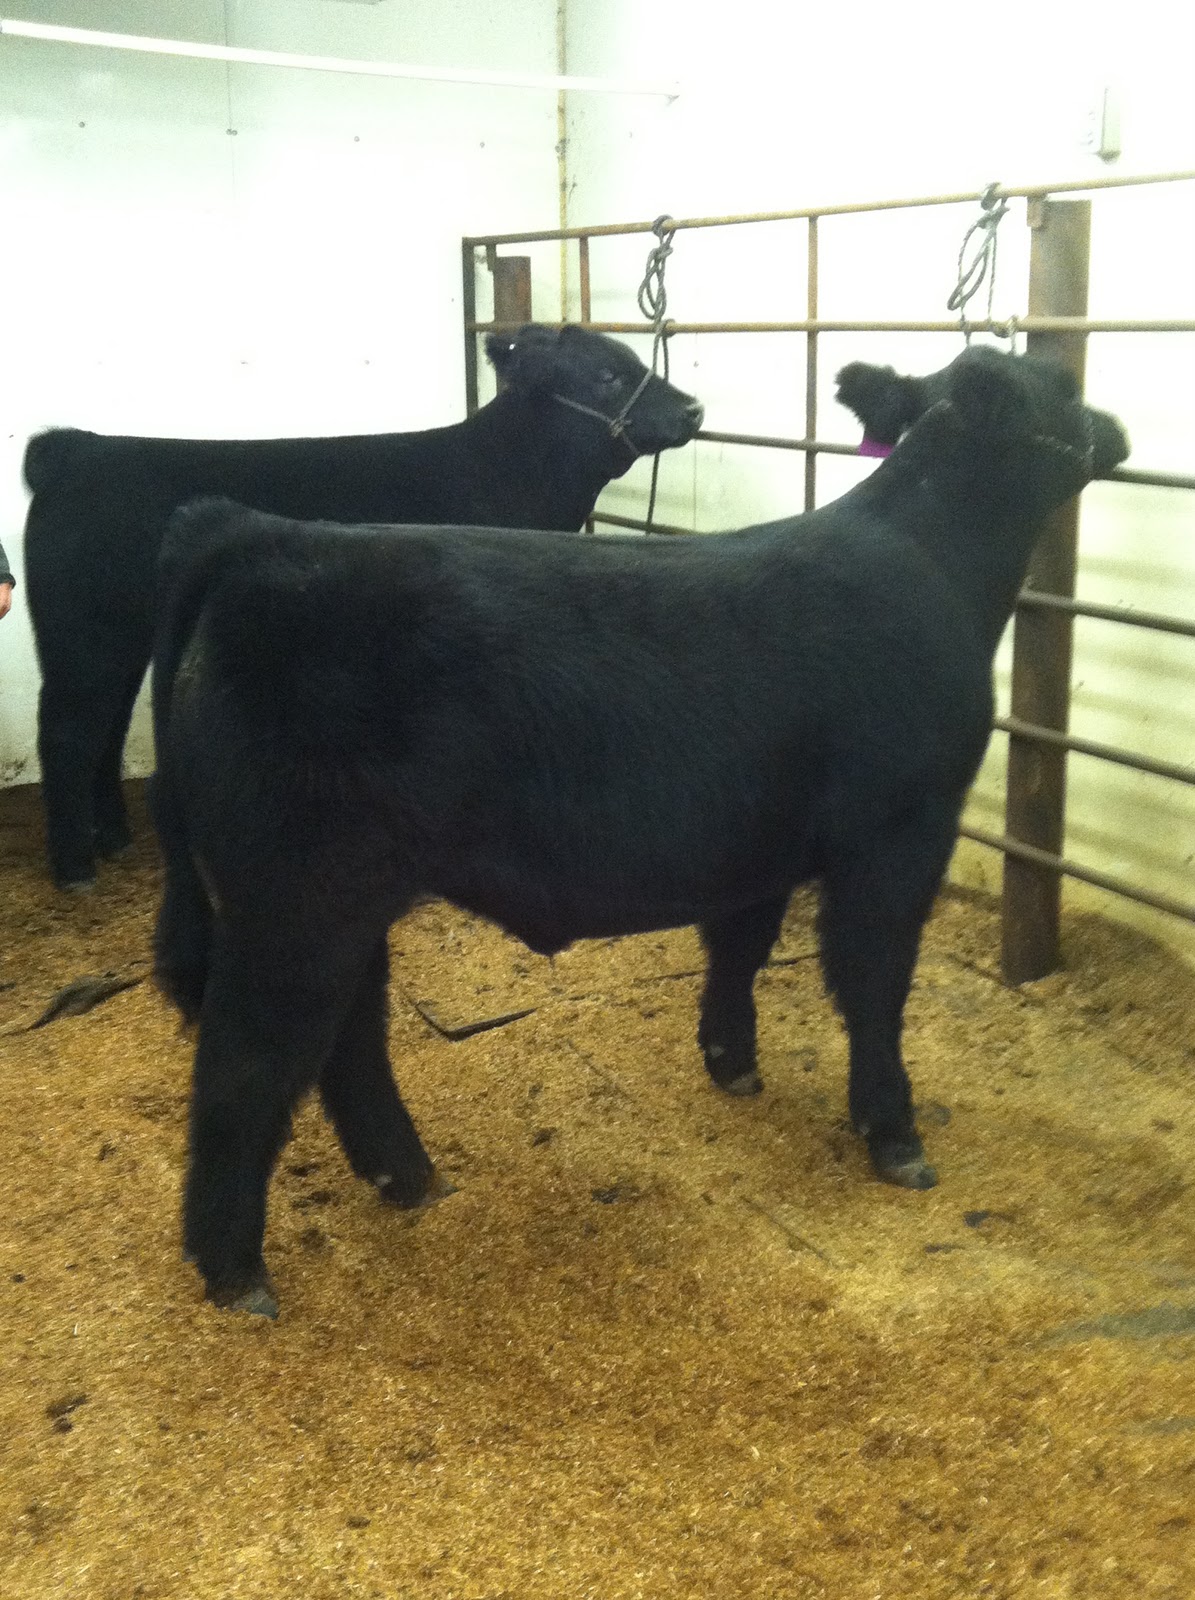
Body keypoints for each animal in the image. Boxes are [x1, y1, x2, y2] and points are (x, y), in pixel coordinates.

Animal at [21, 324, 703, 889]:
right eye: (607, 375)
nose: (693, 409)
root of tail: (78, 449)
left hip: (121, 640)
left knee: (105, 727)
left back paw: (111, 836)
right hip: (82, 637)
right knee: (67, 731)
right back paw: (75, 866)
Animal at [149, 345, 1129, 1316]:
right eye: (1065, 386)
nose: (1115, 430)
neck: (936, 564)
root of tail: (258, 534)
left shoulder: (760, 838)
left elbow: (740, 945)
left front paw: (732, 1061)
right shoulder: (900, 831)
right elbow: (873, 982)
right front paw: (893, 1133)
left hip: (343, 898)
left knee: (345, 1034)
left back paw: (406, 1176)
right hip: (294, 900)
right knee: (248, 1062)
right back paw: (235, 1271)